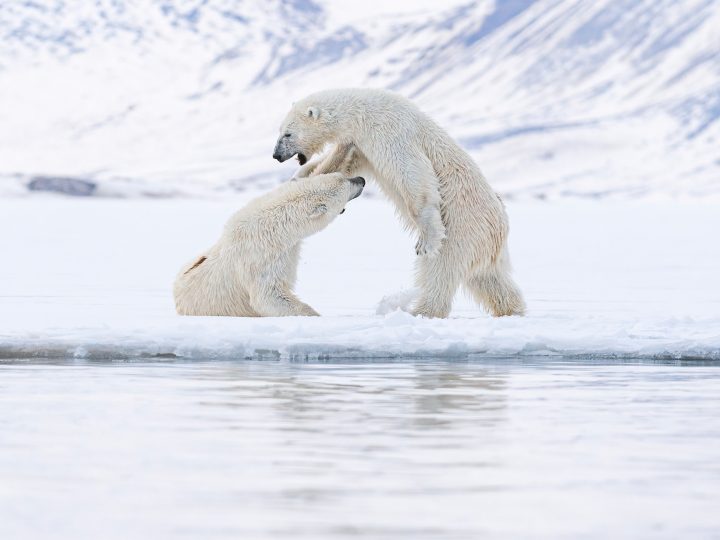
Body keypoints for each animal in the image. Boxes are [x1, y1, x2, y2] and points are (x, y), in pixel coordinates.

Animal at [173, 172, 366, 316]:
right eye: (347, 186)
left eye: (342, 175)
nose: (361, 180)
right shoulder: (261, 258)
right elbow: (268, 296)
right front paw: (313, 315)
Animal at [272, 86, 524, 318]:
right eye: (281, 131)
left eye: (287, 134)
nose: (276, 155)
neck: (363, 111)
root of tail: (499, 228)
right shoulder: (361, 143)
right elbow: (347, 162)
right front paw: (301, 176)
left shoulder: (391, 131)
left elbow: (412, 173)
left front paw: (426, 239)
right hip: (484, 246)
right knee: (490, 279)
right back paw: (512, 309)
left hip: (463, 228)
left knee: (441, 270)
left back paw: (421, 311)